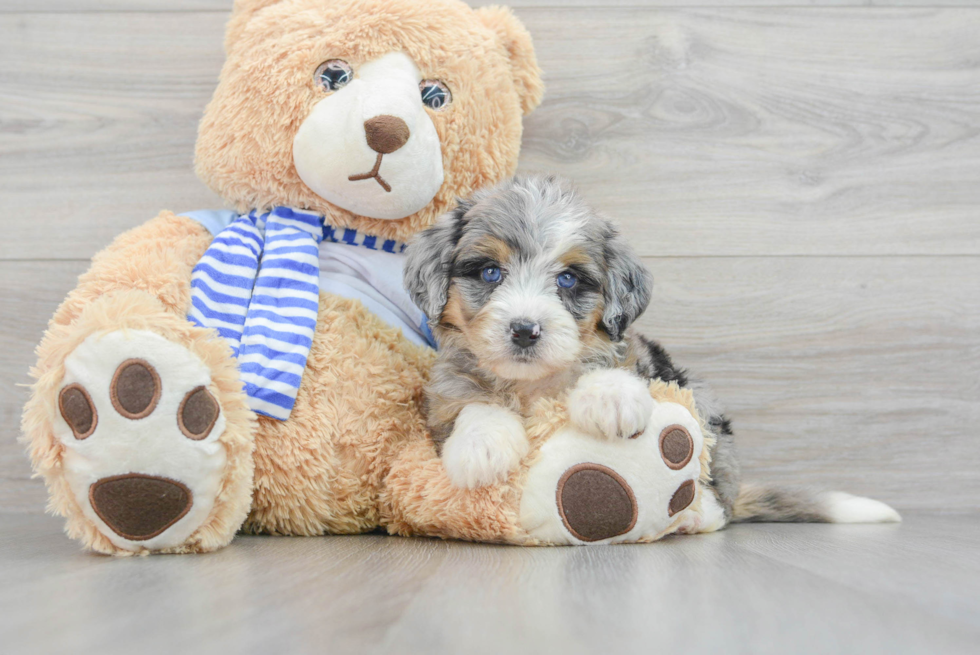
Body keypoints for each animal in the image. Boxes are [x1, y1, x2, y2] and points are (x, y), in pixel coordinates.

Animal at [406, 174, 904, 528]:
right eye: (490, 272)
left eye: (568, 279)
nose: (525, 330)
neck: (532, 384)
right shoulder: (445, 393)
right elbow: (471, 404)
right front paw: (481, 447)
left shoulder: (639, 360)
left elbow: (613, 368)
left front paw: (609, 400)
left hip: (707, 415)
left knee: (716, 494)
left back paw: (700, 513)